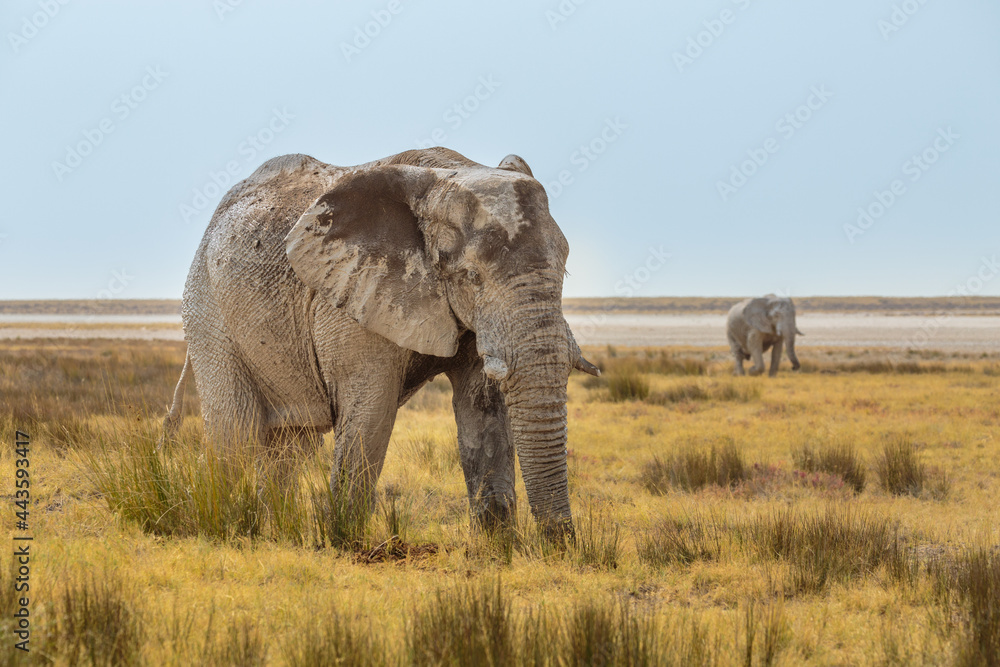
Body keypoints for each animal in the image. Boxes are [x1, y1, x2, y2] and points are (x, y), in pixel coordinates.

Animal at [162, 147, 599, 539]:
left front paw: (497, 550)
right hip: (207, 308)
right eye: (472, 276)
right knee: (235, 432)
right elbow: (370, 408)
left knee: (292, 443)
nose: (560, 545)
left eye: (564, 268)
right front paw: (345, 542)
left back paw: (275, 532)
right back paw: (229, 525)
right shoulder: (350, 296)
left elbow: (483, 409)